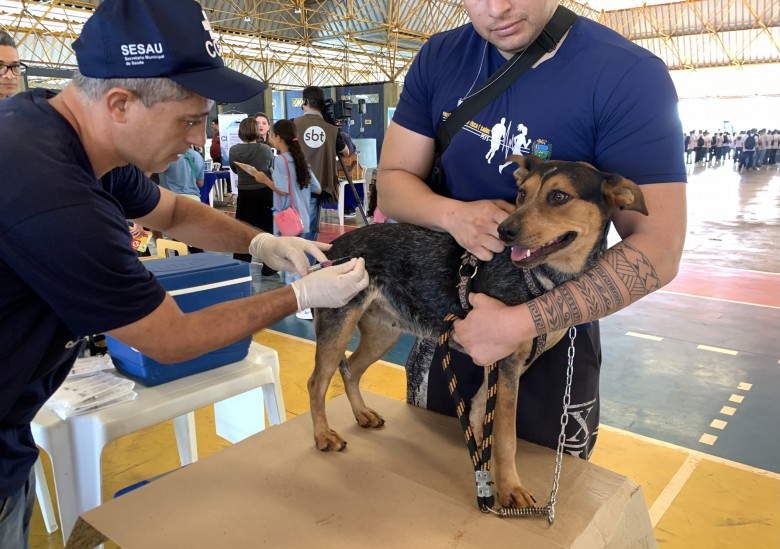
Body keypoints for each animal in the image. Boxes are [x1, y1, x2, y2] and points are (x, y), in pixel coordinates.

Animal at [308, 154, 648, 506]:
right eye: (522, 193)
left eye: (558, 196)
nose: (504, 230)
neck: (544, 279)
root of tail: (332, 248)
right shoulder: (507, 363)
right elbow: (507, 435)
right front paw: (510, 488)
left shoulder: (508, 360)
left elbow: (480, 409)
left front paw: (483, 461)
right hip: (339, 324)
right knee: (317, 382)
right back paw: (323, 435)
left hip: (382, 333)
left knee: (350, 370)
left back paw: (362, 413)